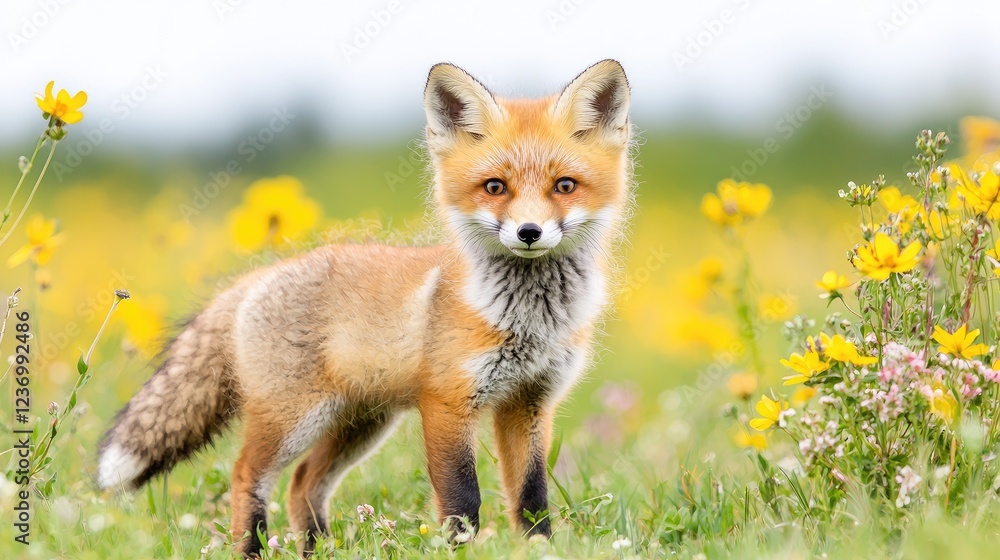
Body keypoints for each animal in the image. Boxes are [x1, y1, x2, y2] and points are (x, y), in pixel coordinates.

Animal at [97, 59, 634, 557]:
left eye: (565, 186)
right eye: (495, 187)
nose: (528, 232)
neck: (529, 320)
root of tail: (257, 278)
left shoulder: (530, 403)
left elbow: (531, 498)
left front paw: (540, 548)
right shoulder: (447, 402)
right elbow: (462, 503)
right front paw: (460, 550)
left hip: (360, 423)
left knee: (303, 484)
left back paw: (316, 549)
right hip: (293, 419)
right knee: (247, 474)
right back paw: (252, 549)